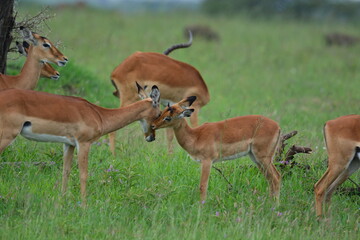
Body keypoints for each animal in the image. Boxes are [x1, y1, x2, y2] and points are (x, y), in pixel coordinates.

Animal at [0, 84, 160, 204]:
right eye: (159, 114)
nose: (151, 137)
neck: (99, 115)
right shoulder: (84, 143)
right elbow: (84, 174)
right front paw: (84, 205)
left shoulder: (69, 144)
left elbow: (66, 172)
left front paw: (62, 200)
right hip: (7, 136)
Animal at [150, 95, 280, 202]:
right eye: (161, 112)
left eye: (168, 118)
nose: (152, 125)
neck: (196, 136)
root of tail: (277, 126)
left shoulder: (207, 161)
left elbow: (203, 186)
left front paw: (201, 207)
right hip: (256, 158)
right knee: (270, 179)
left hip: (263, 158)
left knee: (276, 177)